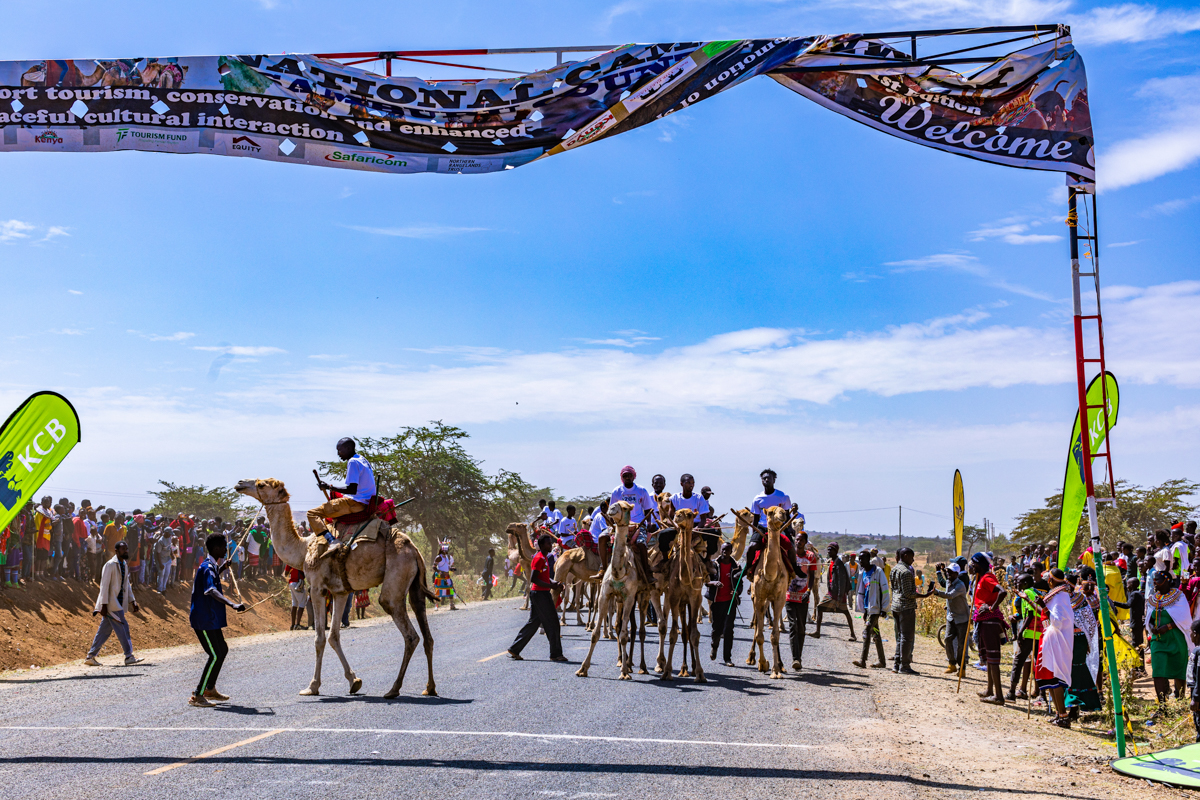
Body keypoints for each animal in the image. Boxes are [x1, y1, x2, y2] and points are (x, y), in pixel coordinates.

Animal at [232, 479, 436, 695]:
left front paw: (312, 686)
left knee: (409, 633)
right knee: (425, 631)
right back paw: (429, 687)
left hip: (396, 574)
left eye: (261, 484)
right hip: (415, 584)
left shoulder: (316, 588)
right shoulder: (341, 592)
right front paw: (354, 681)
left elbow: (320, 638)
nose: (240, 483)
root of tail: (414, 550)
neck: (303, 548)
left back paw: (394, 689)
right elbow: (334, 636)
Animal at [576, 503, 643, 681]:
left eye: (626, 508)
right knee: (619, 625)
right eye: (615, 504)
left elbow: (625, 634)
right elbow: (595, 634)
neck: (619, 572)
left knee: (634, 628)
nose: (612, 509)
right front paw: (583, 668)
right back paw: (622, 660)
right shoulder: (605, 595)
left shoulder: (629, 598)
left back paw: (637, 665)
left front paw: (625, 672)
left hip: (641, 597)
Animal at [744, 506, 792, 676]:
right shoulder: (759, 597)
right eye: (770, 512)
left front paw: (776, 670)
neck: (770, 574)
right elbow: (759, 634)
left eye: (783, 509)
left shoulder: (779, 598)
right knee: (757, 627)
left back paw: (781, 664)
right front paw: (762, 663)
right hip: (759, 598)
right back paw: (751, 658)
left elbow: (775, 635)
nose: (782, 515)